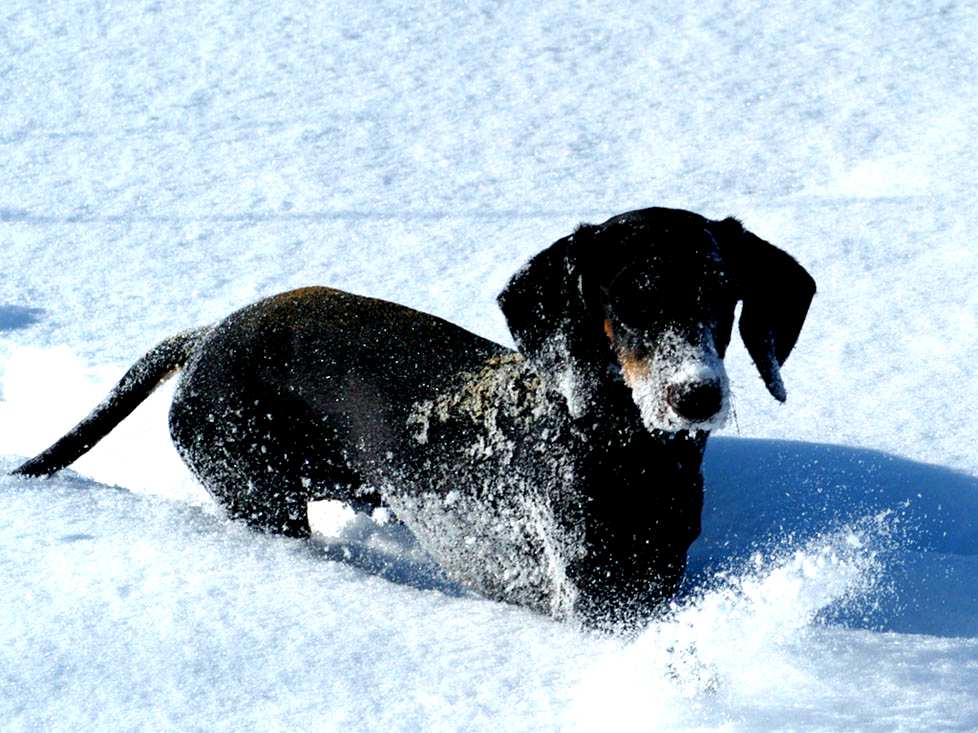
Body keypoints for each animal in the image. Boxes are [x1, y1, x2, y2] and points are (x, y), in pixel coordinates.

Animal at [11, 207, 812, 628]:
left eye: (721, 295)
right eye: (627, 304)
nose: (697, 395)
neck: (626, 455)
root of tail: (206, 337)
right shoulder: (592, 593)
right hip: (257, 490)